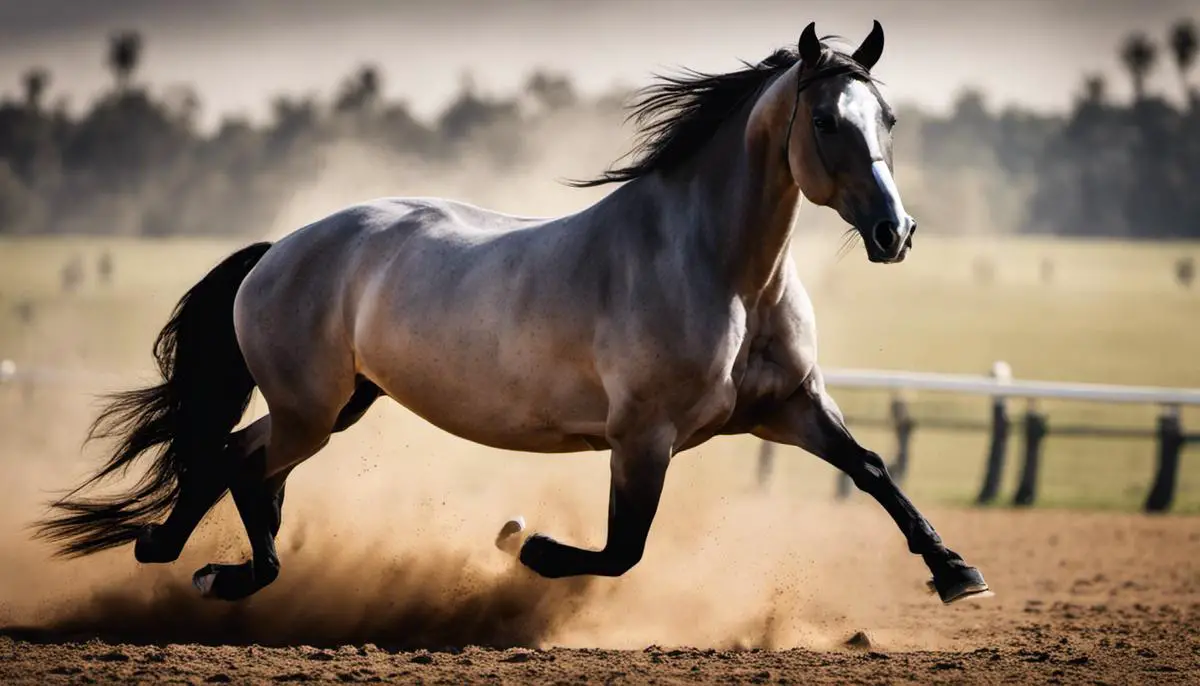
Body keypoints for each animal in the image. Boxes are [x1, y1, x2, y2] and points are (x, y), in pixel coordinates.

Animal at [35, 22, 993, 604]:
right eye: (827, 121)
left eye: (889, 117)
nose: (894, 232)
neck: (724, 274)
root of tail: (280, 249)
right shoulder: (642, 437)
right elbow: (620, 549)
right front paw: (517, 543)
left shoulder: (789, 407)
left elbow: (871, 468)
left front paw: (957, 572)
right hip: (313, 409)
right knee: (242, 463)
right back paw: (219, 574)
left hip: (339, 406)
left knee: (236, 459)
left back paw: (182, 557)